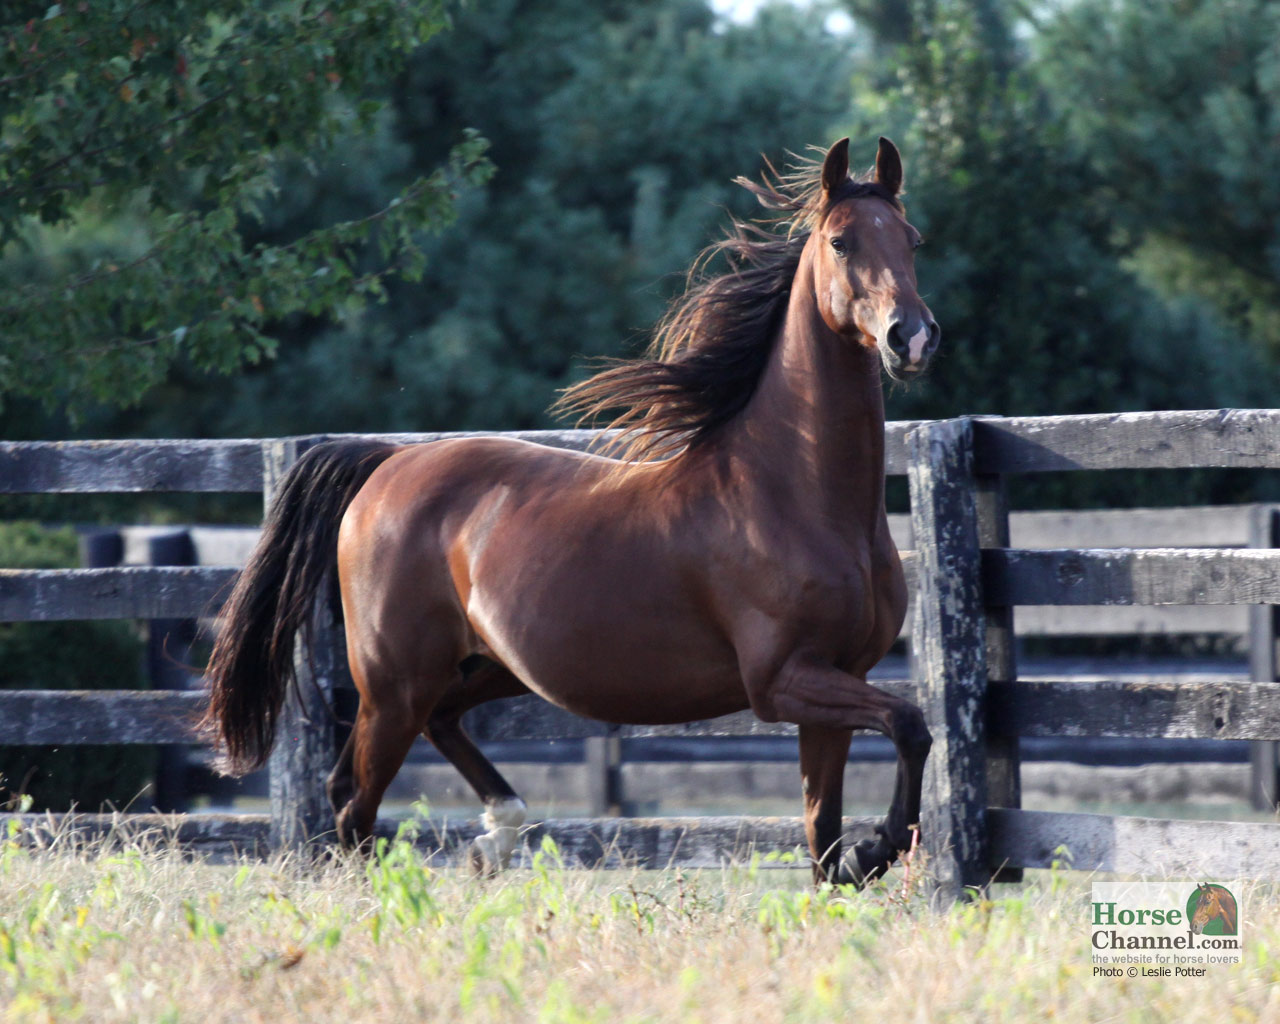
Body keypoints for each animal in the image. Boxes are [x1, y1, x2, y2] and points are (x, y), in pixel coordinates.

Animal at [202, 136, 940, 886]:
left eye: (912, 239)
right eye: (842, 241)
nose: (910, 338)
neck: (798, 498)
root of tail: (386, 464)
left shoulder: (840, 679)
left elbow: (824, 828)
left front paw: (855, 865)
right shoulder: (782, 680)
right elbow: (910, 725)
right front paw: (877, 848)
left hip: (484, 667)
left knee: (426, 736)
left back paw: (498, 833)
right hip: (393, 684)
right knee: (353, 803)